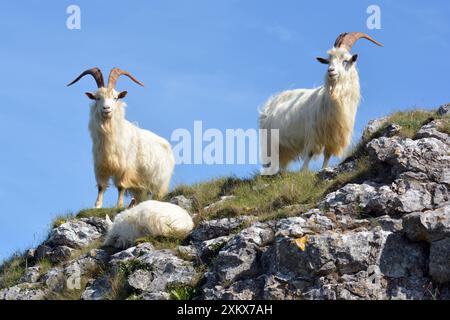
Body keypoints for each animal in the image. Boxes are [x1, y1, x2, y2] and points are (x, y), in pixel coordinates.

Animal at [67, 67, 175, 208]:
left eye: (115, 98)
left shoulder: (125, 168)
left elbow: (121, 187)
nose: (106, 108)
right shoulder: (101, 166)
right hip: (141, 187)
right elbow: (101, 187)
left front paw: (118, 205)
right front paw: (97, 205)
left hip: (160, 183)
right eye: (97, 98)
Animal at [258, 31, 382, 172]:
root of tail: (269, 104)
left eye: (345, 60)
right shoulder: (313, 134)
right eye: (328, 61)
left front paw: (324, 169)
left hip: (285, 146)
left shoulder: (333, 137)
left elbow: (327, 154)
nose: (330, 71)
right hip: (269, 142)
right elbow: (310, 153)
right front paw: (303, 171)